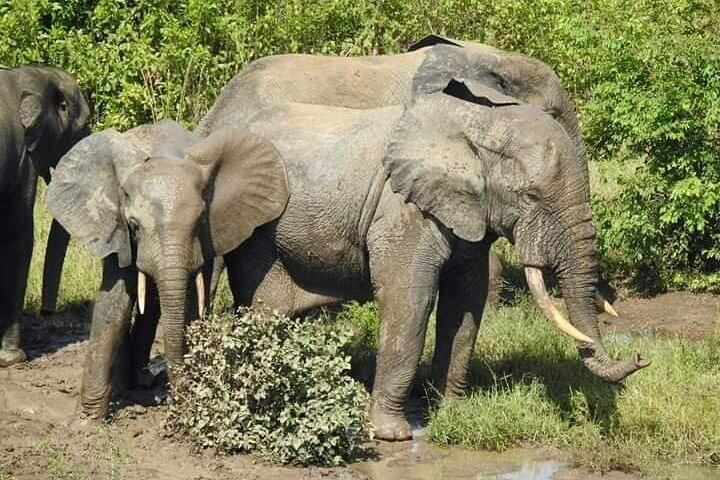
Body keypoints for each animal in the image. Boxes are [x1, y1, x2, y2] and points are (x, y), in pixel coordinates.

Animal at [45, 119, 289, 418]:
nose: (179, 402)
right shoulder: (117, 228)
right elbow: (115, 301)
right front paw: (87, 419)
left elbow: (189, 303)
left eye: (201, 220)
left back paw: (141, 381)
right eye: (134, 225)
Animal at [197, 79, 649, 441]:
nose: (640, 358)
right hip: (255, 229)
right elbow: (410, 301)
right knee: (266, 306)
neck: (478, 125)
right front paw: (392, 435)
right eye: (531, 197)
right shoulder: (402, 209)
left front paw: (455, 414)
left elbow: (465, 306)